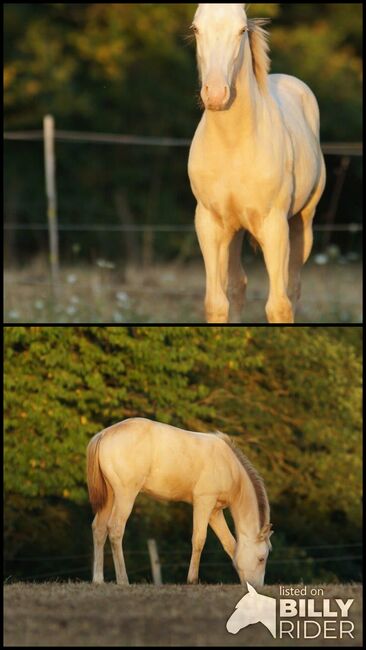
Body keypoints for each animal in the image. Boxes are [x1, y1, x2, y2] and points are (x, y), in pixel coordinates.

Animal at [87, 416, 274, 588]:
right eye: (261, 558)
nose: (256, 588)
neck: (229, 467)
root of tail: (104, 434)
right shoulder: (203, 502)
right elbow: (199, 539)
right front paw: (192, 580)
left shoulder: (214, 512)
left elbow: (230, 544)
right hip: (125, 495)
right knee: (115, 528)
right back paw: (123, 580)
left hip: (110, 497)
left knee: (99, 529)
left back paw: (98, 580)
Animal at [189, 2, 326, 322]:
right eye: (196, 28)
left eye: (241, 30)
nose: (215, 94)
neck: (234, 146)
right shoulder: (209, 224)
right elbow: (217, 303)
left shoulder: (274, 226)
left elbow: (278, 306)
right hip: (234, 230)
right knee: (237, 286)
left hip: (301, 224)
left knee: (293, 288)